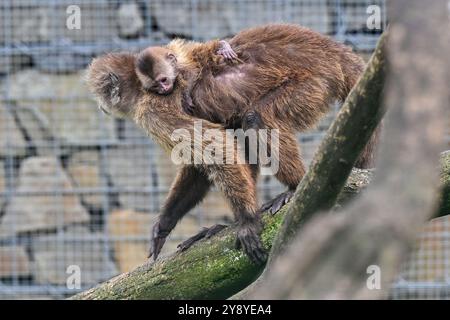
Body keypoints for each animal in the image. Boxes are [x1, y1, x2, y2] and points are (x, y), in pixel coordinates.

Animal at [87, 23, 376, 264]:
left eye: (102, 95)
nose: (101, 107)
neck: (143, 90)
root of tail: (329, 50)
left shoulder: (152, 109)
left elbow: (213, 146)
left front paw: (247, 221)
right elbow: (201, 161)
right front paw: (164, 225)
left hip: (315, 83)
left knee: (255, 118)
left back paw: (295, 187)